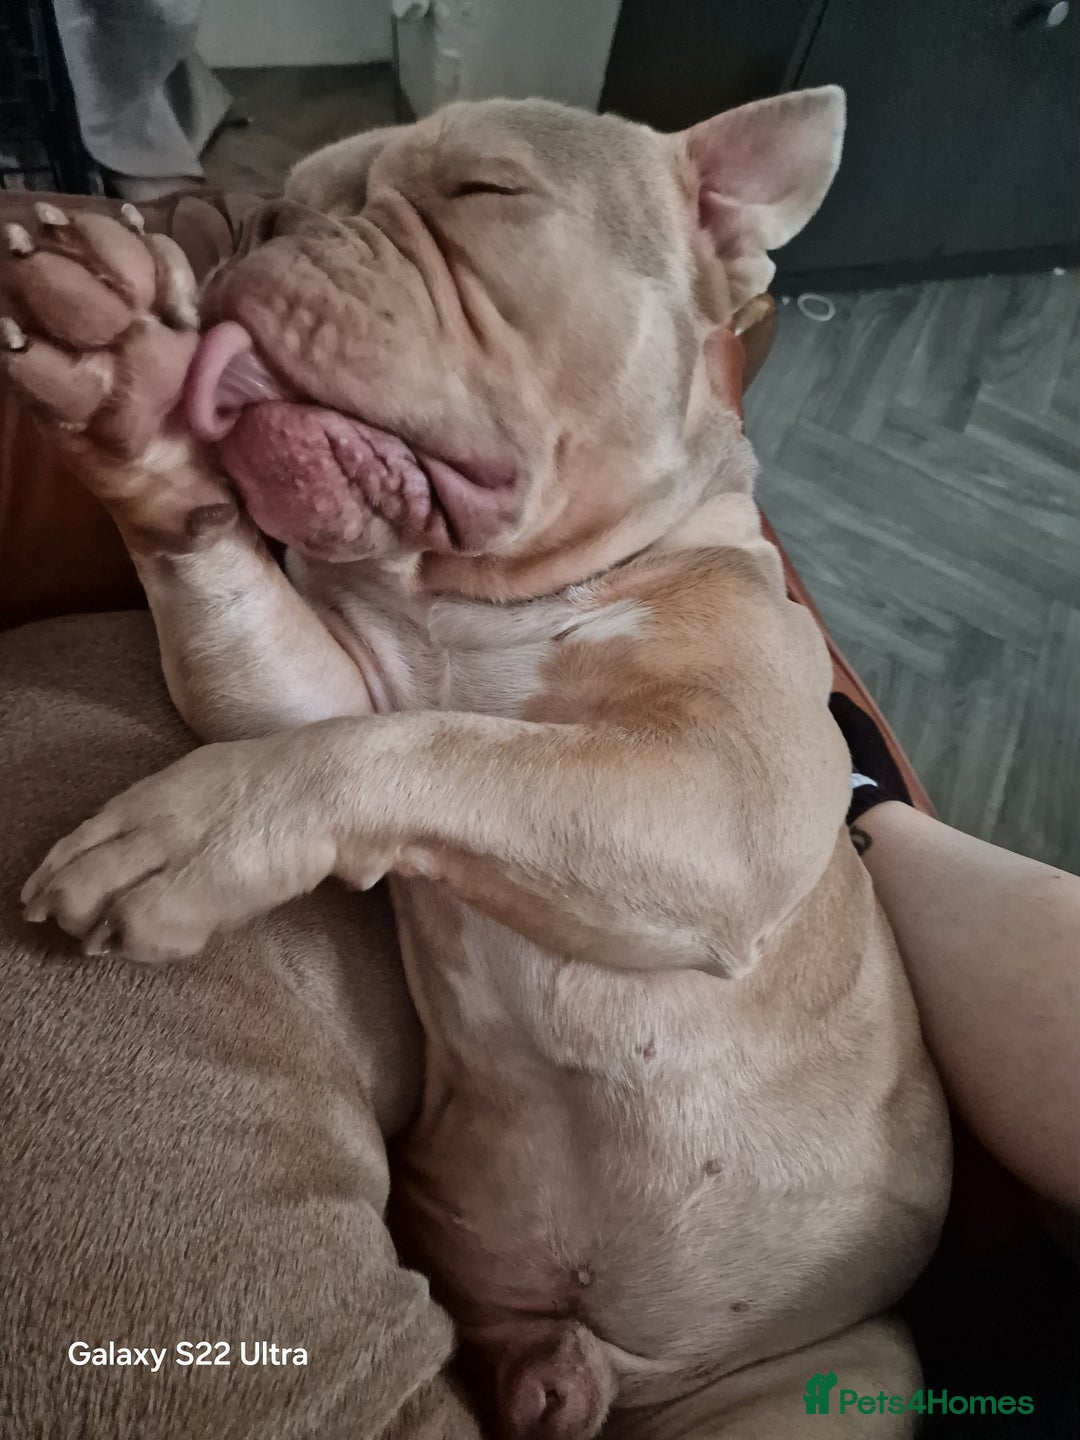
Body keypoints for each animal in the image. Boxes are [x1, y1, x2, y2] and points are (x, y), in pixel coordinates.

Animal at [4, 87, 950, 1438]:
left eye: (482, 193)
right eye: (289, 203)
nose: (265, 232)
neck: (475, 595)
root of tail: (585, 1362)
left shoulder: (719, 800)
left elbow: (439, 749)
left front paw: (193, 832)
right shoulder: (310, 685)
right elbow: (334, 698)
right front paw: (124, 385)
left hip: (799, 1385)